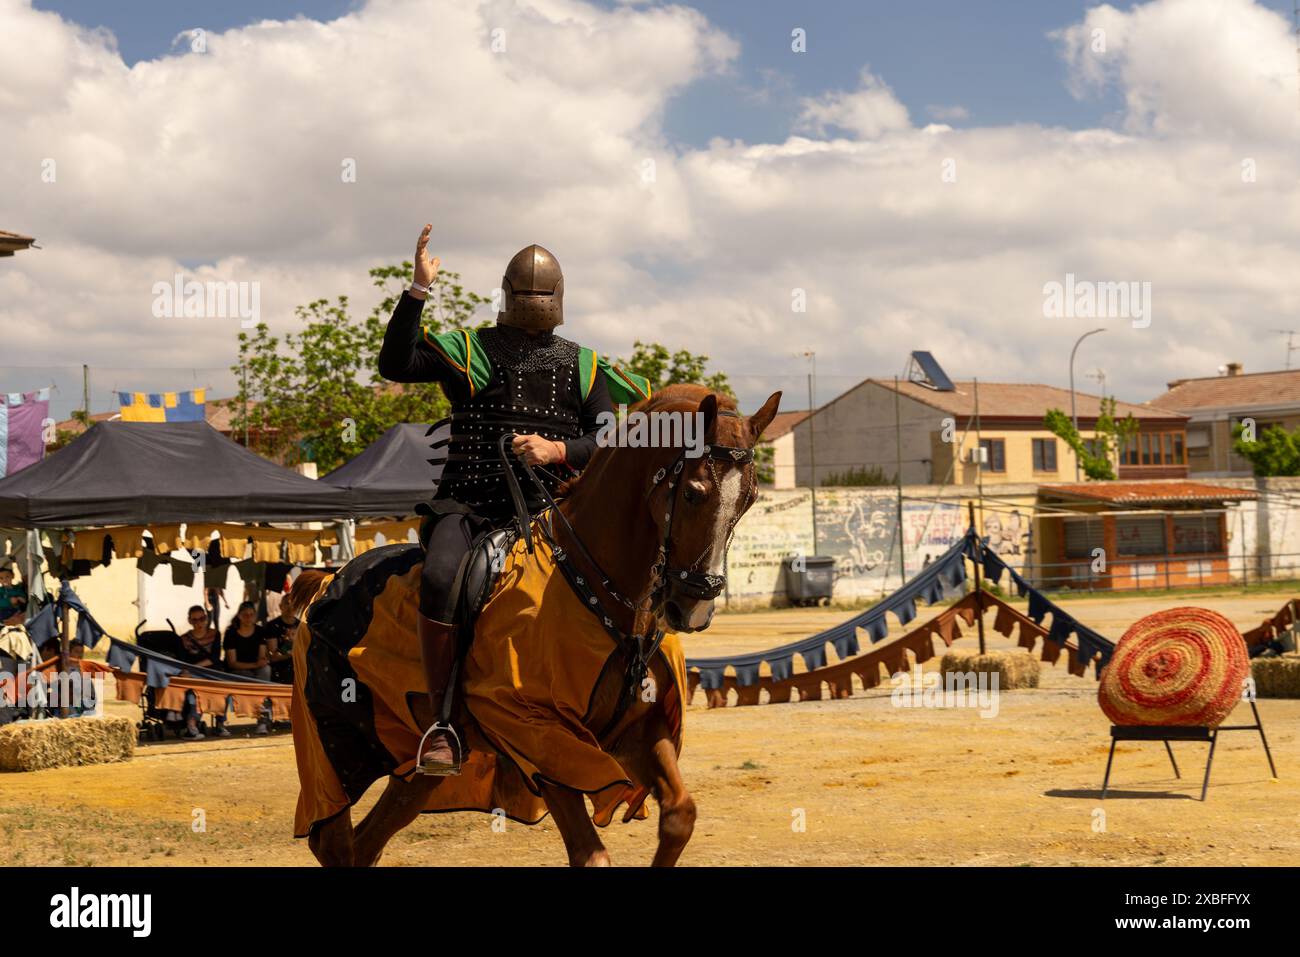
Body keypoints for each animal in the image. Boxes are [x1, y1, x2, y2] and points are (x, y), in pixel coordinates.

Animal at [293, 382, 774, 868]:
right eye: (693, 493)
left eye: (749, 499)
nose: (695, 606)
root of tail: (326, 582)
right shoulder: (542, 740)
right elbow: (590, 855)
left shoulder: (641, 734)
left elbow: (680, 817)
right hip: (338, 750)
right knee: (332, 839)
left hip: (414, 769)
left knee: (367, 842)